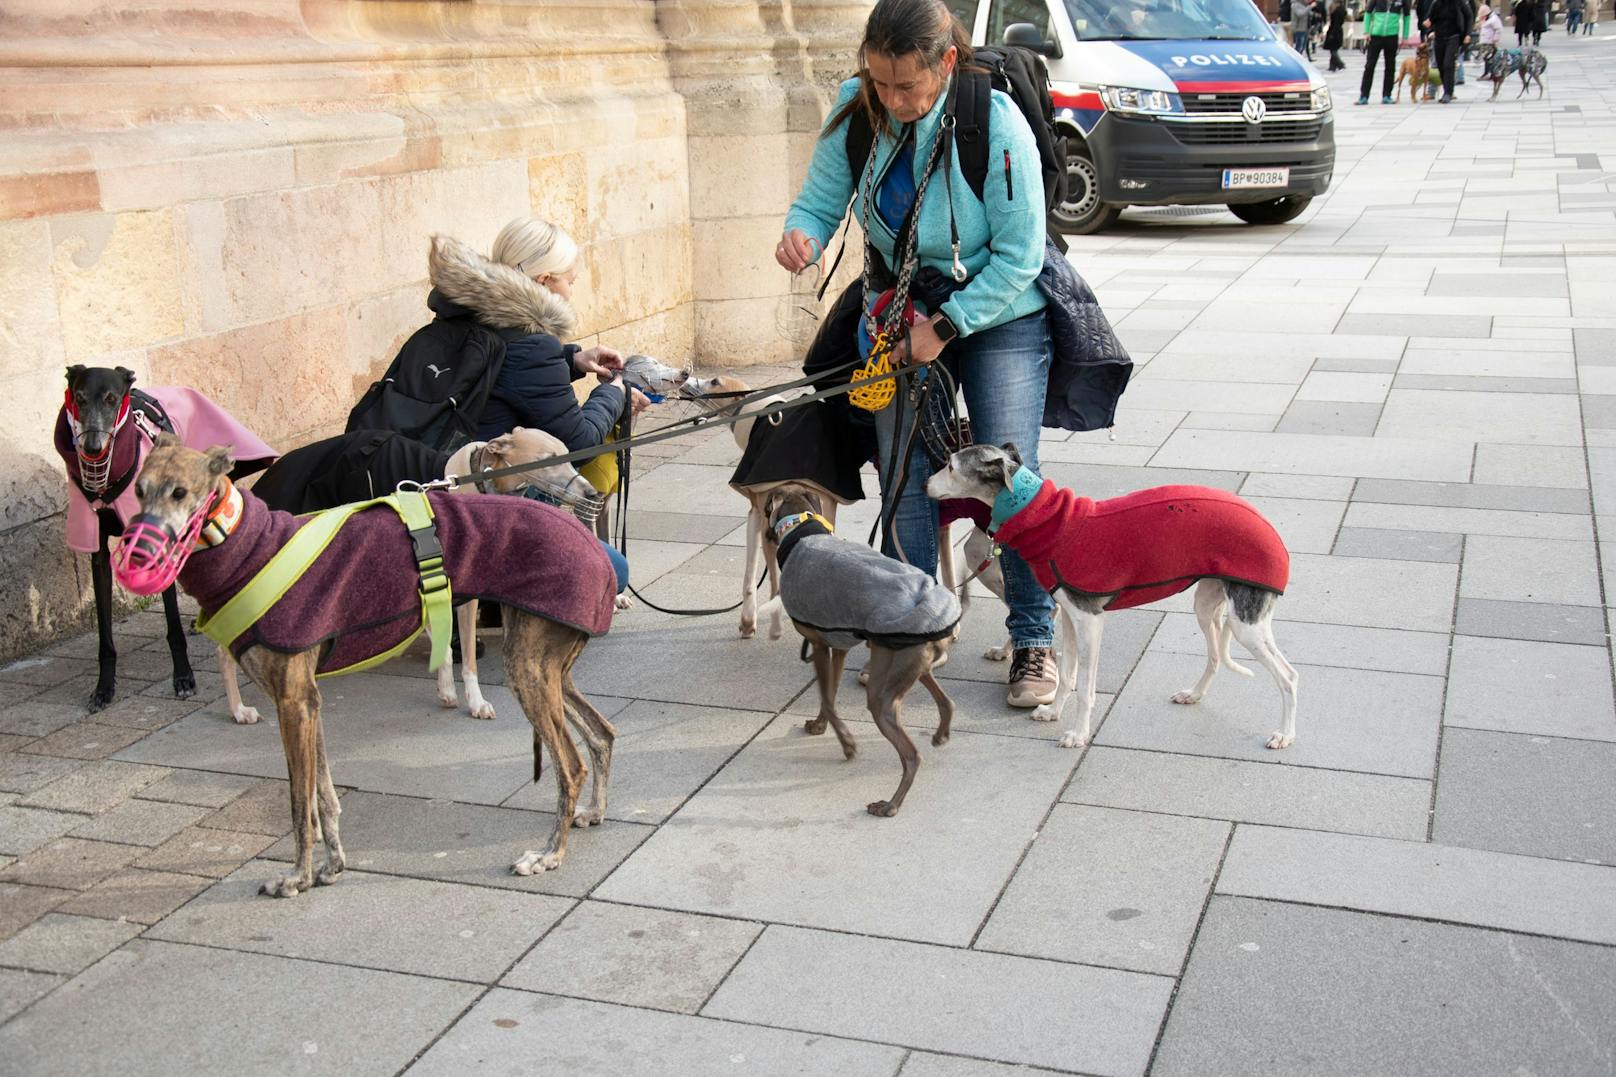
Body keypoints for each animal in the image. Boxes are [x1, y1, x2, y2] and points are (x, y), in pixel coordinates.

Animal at [52, 365, 274, 708]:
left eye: (112, 399)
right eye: (79, 398)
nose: (91, 448)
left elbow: (173, 626)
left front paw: (182, 677)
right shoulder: (97, 552)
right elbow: (105, 634)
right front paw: (104, 688)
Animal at [930, 439, 1292, 750]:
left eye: (950, 465)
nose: (924, 485)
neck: (1050, 521)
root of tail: (1271, 530)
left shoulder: (1090, 620)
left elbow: (1086, 688)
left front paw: (1077, 735)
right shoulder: (1070, 619)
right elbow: (1067, 676)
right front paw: (1053, 713)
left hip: (1247, 623)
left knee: (1289, 676)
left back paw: (1284, 735)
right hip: (1207, 604)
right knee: (1215, 657)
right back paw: (1193, 694)